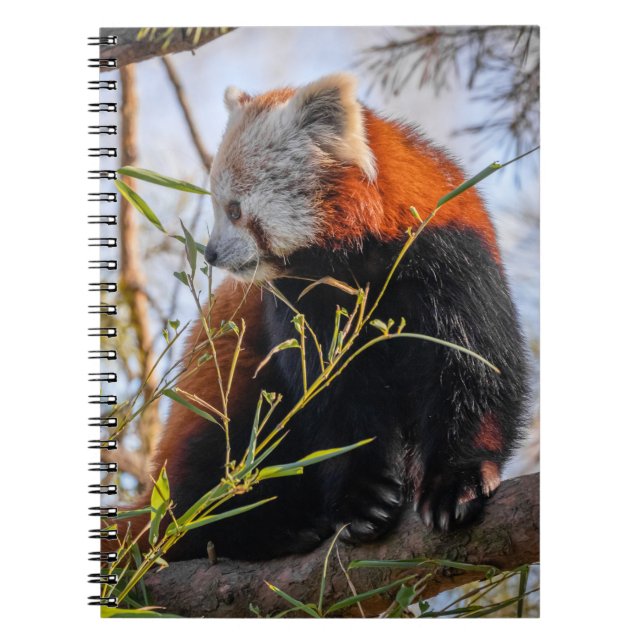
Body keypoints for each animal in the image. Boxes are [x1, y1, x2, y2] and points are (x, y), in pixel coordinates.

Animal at [120, 73, 528, 561]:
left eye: (234, 209)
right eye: (217, 206)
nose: (212, 253)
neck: (357, 260)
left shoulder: (449, 257)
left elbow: (474, 371)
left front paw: (456, 482)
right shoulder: (301, 303)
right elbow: (331, 399)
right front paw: (362, 501)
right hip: (213, 405)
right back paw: (267, 529)